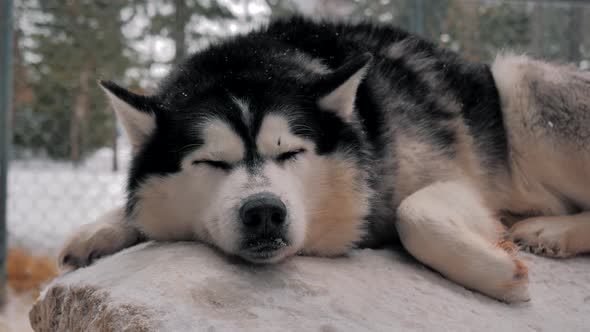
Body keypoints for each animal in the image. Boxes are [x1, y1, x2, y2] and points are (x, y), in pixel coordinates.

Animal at [60, 16, 590, 302]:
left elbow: (411, 212)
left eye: (291, 152)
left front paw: (499, 274)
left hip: (518, 82)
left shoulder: (459, 178)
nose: (264, 212)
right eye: (212, 163)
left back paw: (552, 231)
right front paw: (101, 228)